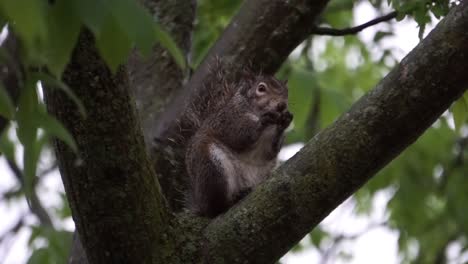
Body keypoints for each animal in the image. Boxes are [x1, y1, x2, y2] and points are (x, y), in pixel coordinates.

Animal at [184, 69, 292, 218]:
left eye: (287, 91)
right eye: (261, 88)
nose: (282, 105)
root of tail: (200, 204)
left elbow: (271, 151)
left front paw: (284, 122)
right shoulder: (229, 120)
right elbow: (239, 135)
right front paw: (263, 121)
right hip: (211, 166)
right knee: (216, 208)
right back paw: (232, 200)